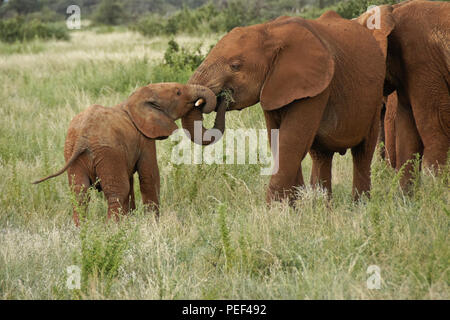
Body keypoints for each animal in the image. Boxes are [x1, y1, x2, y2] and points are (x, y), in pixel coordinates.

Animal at [33, 84, 216, 226]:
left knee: (80, 193)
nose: (201, 103)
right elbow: (149, 178)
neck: (134, 101)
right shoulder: (144, 139)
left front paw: (132, 220)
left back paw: (81, 230)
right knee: (117, 192)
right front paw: (152, 225)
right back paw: (112, 230)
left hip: (72, 151)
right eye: (178, 92)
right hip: (108, 151)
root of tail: (83, 136)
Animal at [183, 11, 394, 204]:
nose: (222, 99)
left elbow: (291, 142)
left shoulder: (316, 86)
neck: (269, 30)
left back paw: (360, 207)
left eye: (235, 65)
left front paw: (274, 212)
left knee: (362, 153)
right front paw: (292, 208)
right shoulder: (273, 86)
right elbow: (279, 140)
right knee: (321, 156)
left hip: (375, 98)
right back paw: (323, 209)